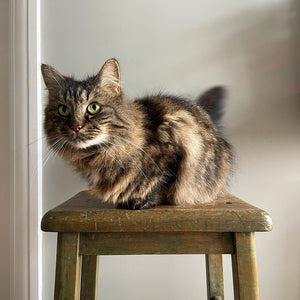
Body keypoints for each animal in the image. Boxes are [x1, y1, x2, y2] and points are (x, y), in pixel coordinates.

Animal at [41, 58, 232, 209]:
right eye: (63, 110)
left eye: (93, 107)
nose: (76, 126)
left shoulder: (174, 149)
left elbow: (159, 183)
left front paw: (141, 202)